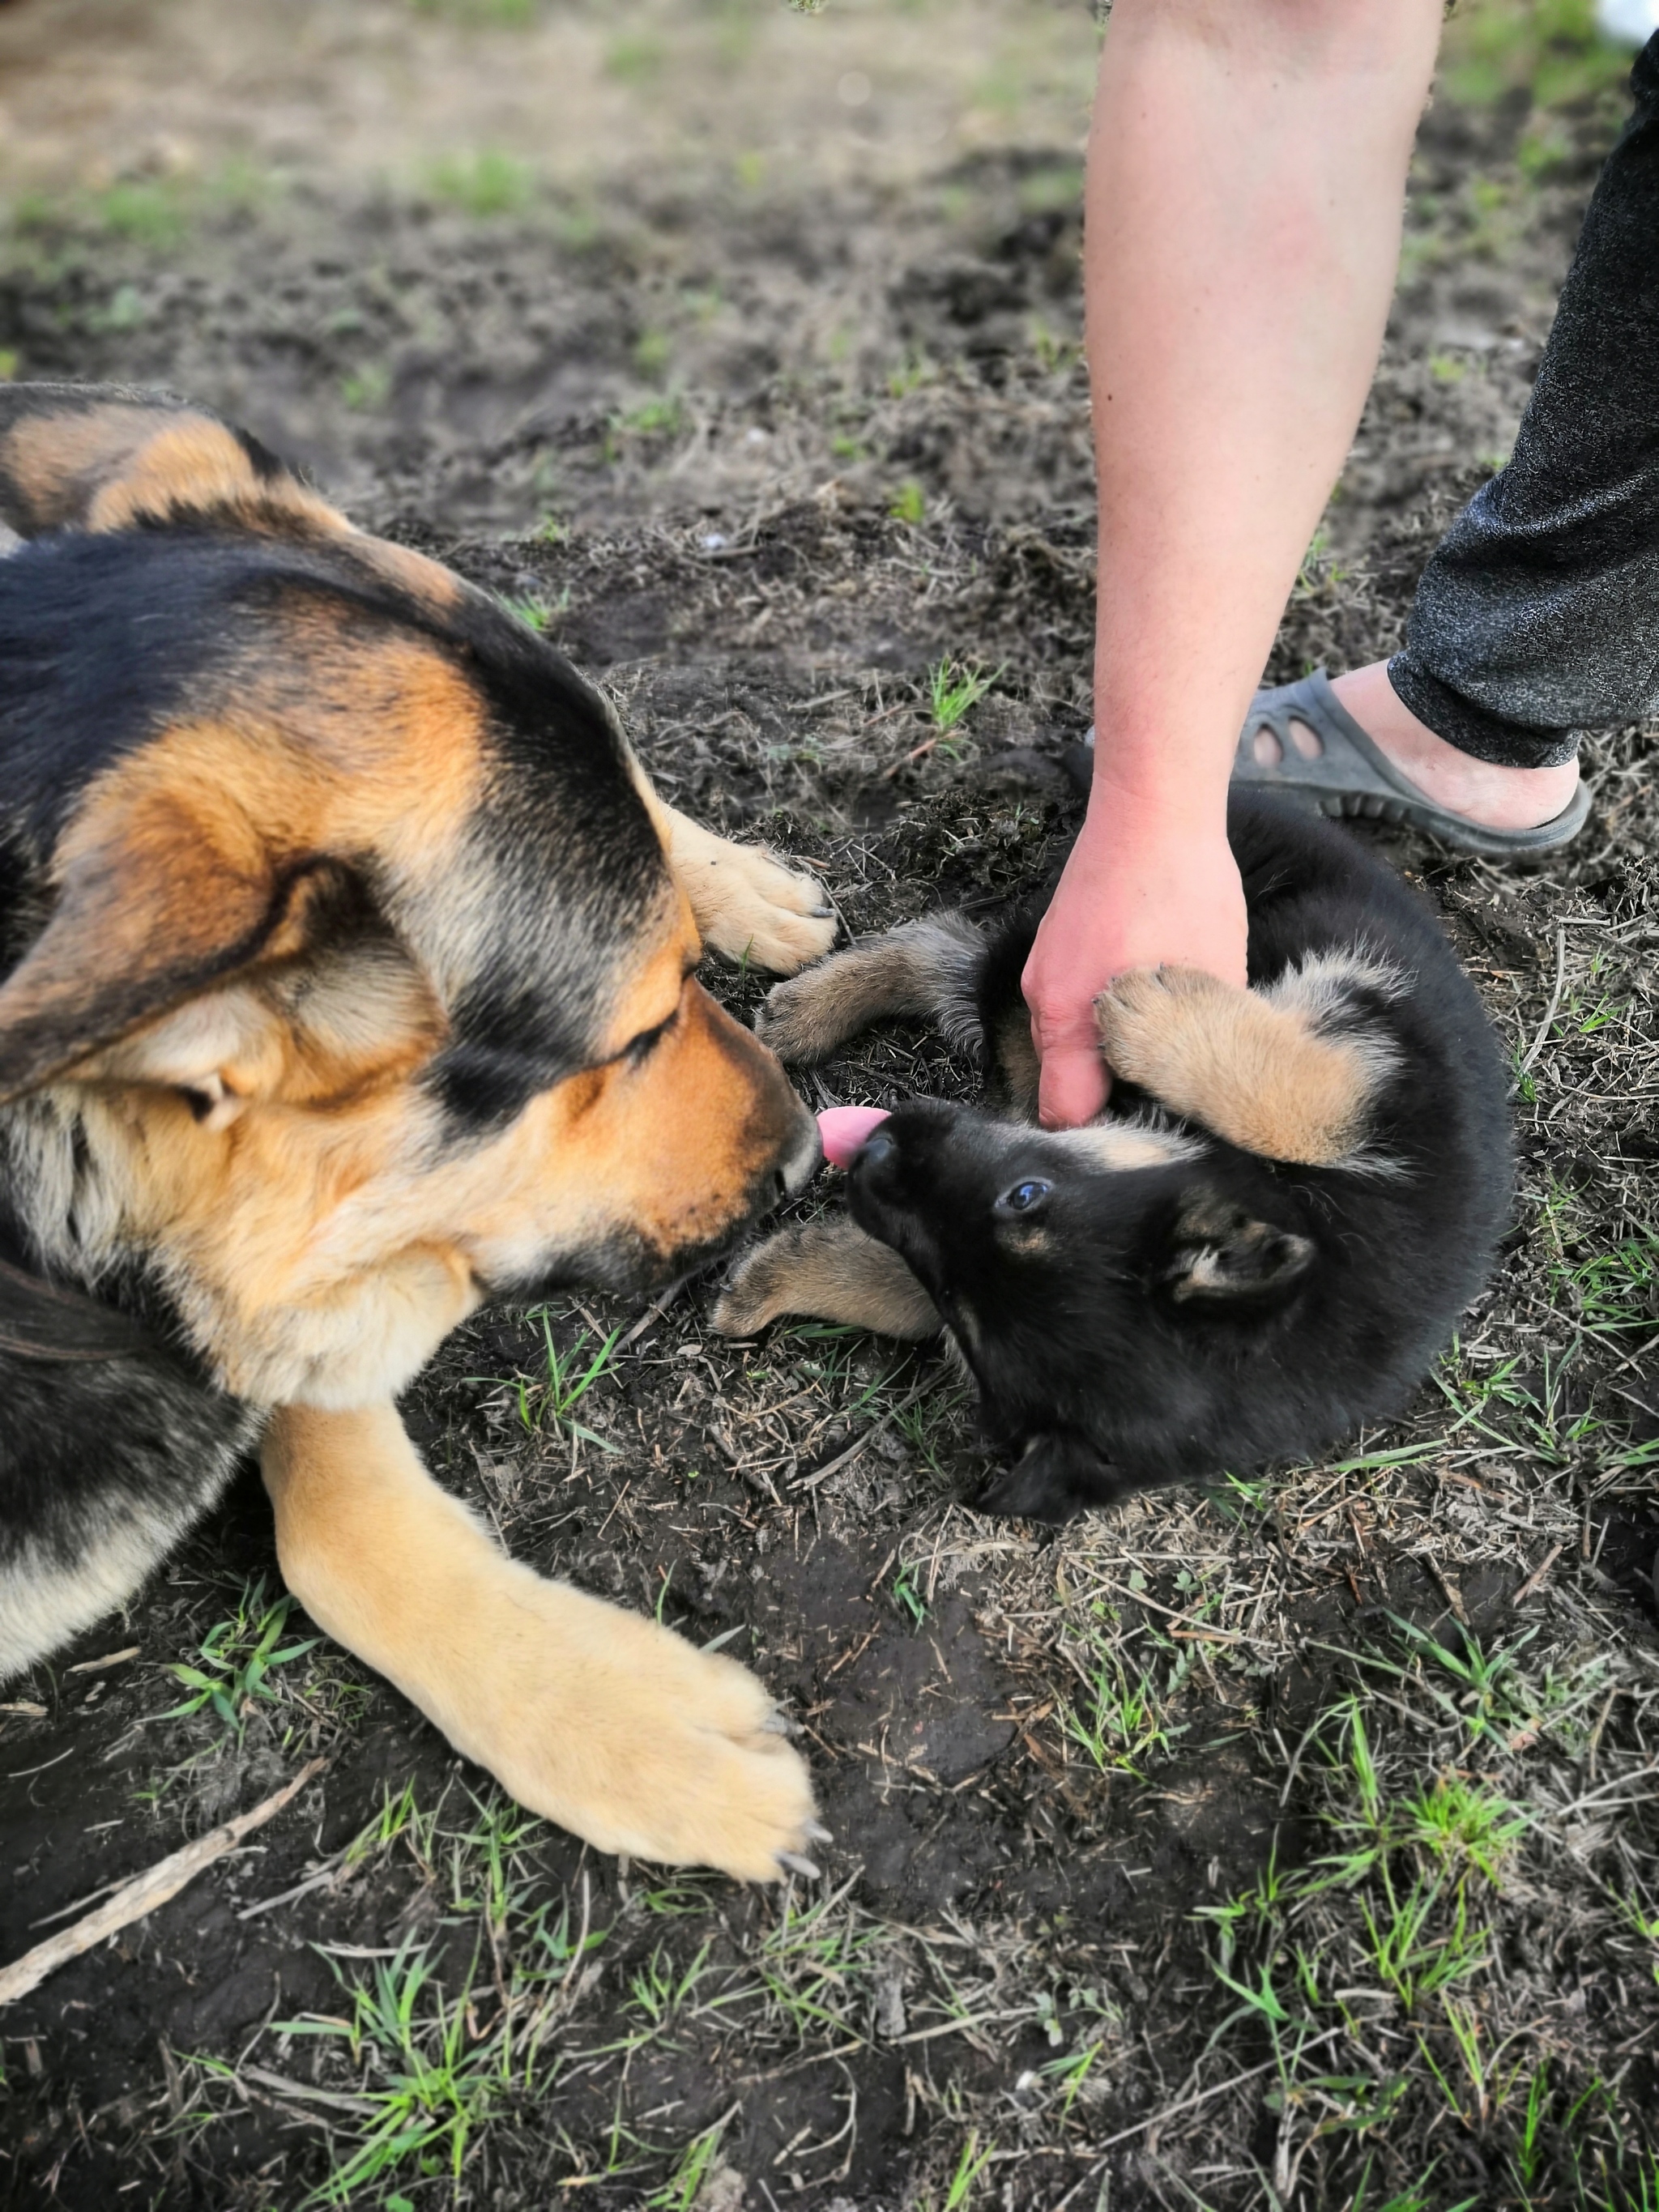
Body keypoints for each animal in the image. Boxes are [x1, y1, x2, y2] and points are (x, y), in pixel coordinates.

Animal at [716, 791, 1521, 1521]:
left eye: (1025, 1195)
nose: (875, 1150)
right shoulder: (1394, 1075)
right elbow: (1299, 1109)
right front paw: (1151, 1011)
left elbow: (899, 1288)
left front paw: (771, 1280)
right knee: (965, 960)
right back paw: (808, 1008)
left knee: (956, 960)